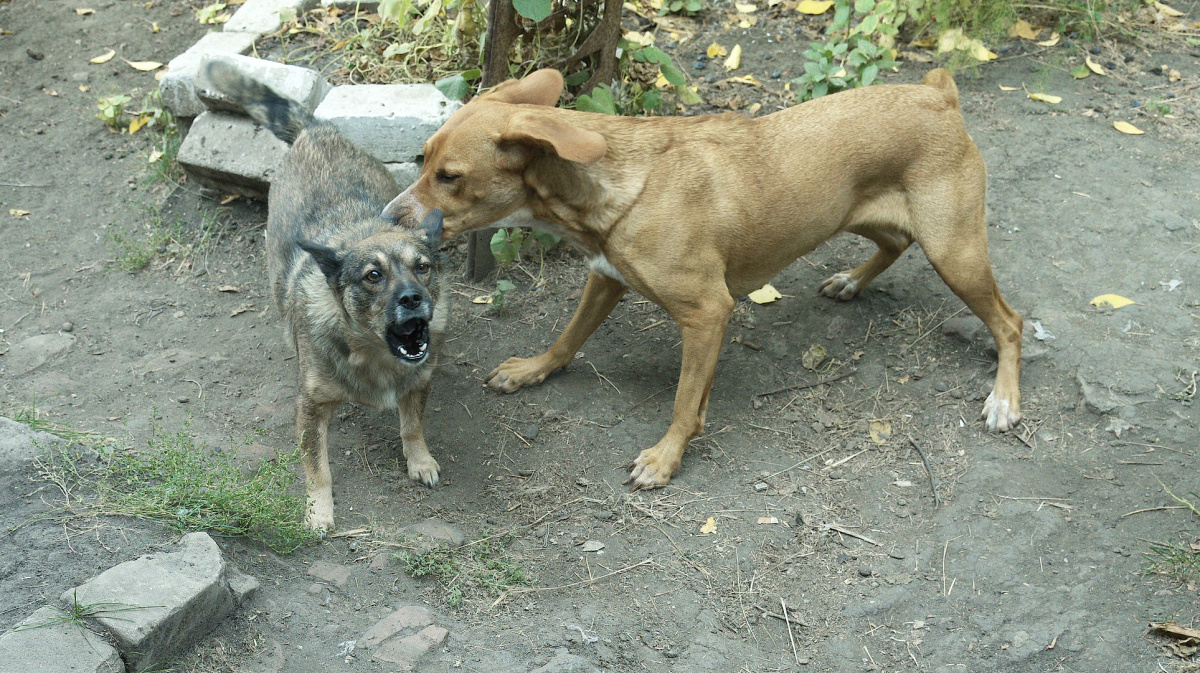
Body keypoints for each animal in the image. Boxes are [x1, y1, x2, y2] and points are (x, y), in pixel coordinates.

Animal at [206, 59, 451, 530]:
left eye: (423, 267)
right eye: (373, 275)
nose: (413, 299)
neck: (374, 356)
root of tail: (317, 131)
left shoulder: (419, 381)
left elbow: (411, 426)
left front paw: (420, 460)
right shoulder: (310, 407)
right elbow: (317, 466)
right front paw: (319, 510)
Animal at [384, 68, 1022, 487]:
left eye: (450, 176)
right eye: (420, 158)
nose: (389, 217)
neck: (617, 184)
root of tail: (938, 94)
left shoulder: (707, 312)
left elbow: (685, 402)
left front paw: (666, 457)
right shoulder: (605, 277)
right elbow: (567, 339)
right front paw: (532, 370)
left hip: (955, 251)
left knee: (1010, 323)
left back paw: (1005, 399)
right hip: (867, 217)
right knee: (894, 241)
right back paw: (851, 281)